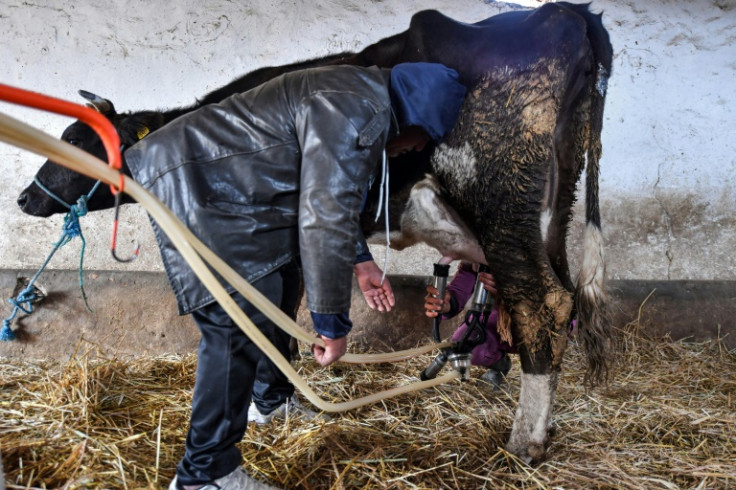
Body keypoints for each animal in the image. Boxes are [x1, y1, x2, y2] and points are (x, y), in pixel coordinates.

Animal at [18, 2, 616, 464]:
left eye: (79, 140)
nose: (24, 198)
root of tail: (563, 14)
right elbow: (288, 305)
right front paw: (281, 396)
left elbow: (270, 312)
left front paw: (267, 399)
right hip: (552, 212)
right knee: (561, 297)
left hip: (499, 202)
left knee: (545, 305)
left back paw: (524, 443)